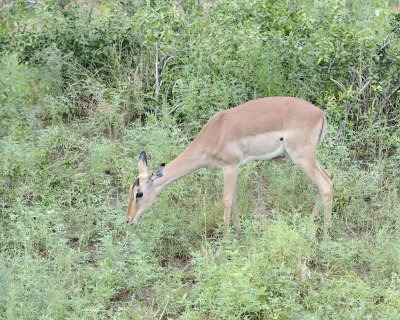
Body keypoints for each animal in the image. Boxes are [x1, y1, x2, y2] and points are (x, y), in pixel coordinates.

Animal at [126, 97, 332, 242]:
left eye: (139, 193)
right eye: (130, 190)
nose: (128, 220)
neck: (214, 134)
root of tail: (320, 114)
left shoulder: (230, 166)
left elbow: (226, 201)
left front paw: (222, 248)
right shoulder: (234, 169)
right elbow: (234, 199)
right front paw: (239, 235)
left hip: (302, 158)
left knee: (326, 186)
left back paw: (324, 239)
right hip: (305, 158)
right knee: (328, 178)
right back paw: (307, 228)